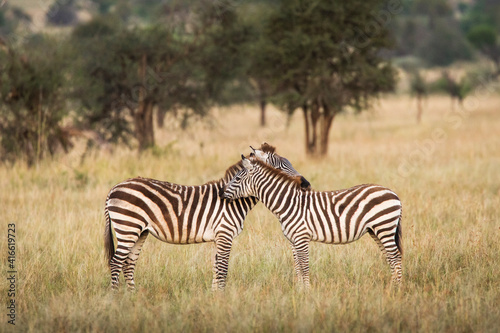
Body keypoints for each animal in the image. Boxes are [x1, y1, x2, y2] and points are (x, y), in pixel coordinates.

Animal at [104, 143, 308, 290]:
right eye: (281, 166)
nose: (306, 184)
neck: (232, 199)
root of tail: (114, 188)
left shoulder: (218, 237)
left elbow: (216, 268)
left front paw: (214, 297)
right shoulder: (225, 234)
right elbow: (223, 269)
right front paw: (222, 299)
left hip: (140, 231)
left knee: (128, 263)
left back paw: (132, 296)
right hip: (128, 226)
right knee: (116, 263)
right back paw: (116, 299)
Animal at [221, 154, 404, 286]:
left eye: (237, 179)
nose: (221, 193)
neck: (288, 203)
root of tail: (393, 193)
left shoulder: (301, 237)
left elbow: (304, 266)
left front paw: (306, 292)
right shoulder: (293, 239)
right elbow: (297, 266)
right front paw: (300, 291)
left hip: (384, 227)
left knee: (395, 256)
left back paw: (398, 288)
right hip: (375, 230)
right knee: (390, 257)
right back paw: (391, 286)